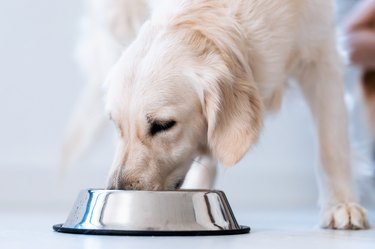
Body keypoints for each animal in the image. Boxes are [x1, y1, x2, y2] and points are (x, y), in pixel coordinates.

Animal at [62, 0, 370, 230]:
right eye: (117, 126)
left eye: (163, 125)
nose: (117, 190)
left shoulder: (322, 54)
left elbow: (331, 145)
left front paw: (342, 205)